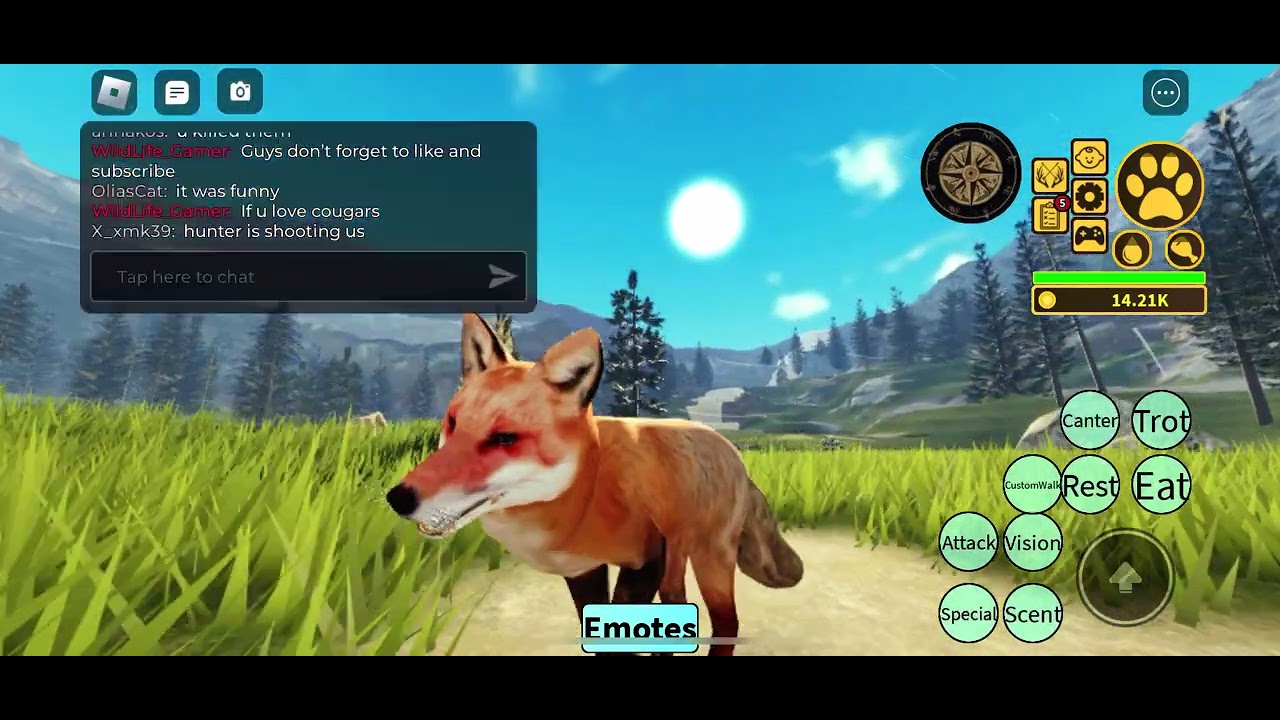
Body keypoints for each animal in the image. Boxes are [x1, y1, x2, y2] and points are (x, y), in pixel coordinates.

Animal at [385, 313, 803, 656]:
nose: (397, 498)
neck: (584, 494)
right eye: (453, 424)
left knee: (727, 624)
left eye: (504, 438)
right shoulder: (583, 571)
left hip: (710, 559)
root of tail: (733, 452)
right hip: (678, 565)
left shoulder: (646, 559)